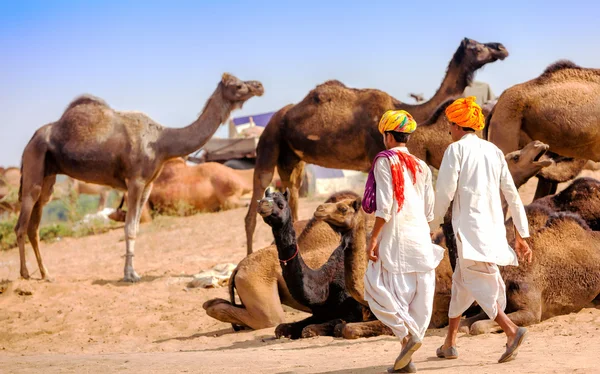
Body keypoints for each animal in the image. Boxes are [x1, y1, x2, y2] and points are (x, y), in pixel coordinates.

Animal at [14, 74, 262, 282]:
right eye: (238, 85)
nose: (259, 86)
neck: (162, 143)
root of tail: (31, 140)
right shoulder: (135, 181)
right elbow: (129, 228)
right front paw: (130, 275)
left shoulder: (148, 184)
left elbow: (134, 227)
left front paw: (132, 271)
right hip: (34, 164)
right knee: (22, 223)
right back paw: (25, 274)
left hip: (48, 176)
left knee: (34, 225)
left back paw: (46, 274)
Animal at [246, 38, 508, 254]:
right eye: (476, 47)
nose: (501, 48)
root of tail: (278, 117)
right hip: (269, 142)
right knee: (255, 203)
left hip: (292, 159)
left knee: (292, 191)